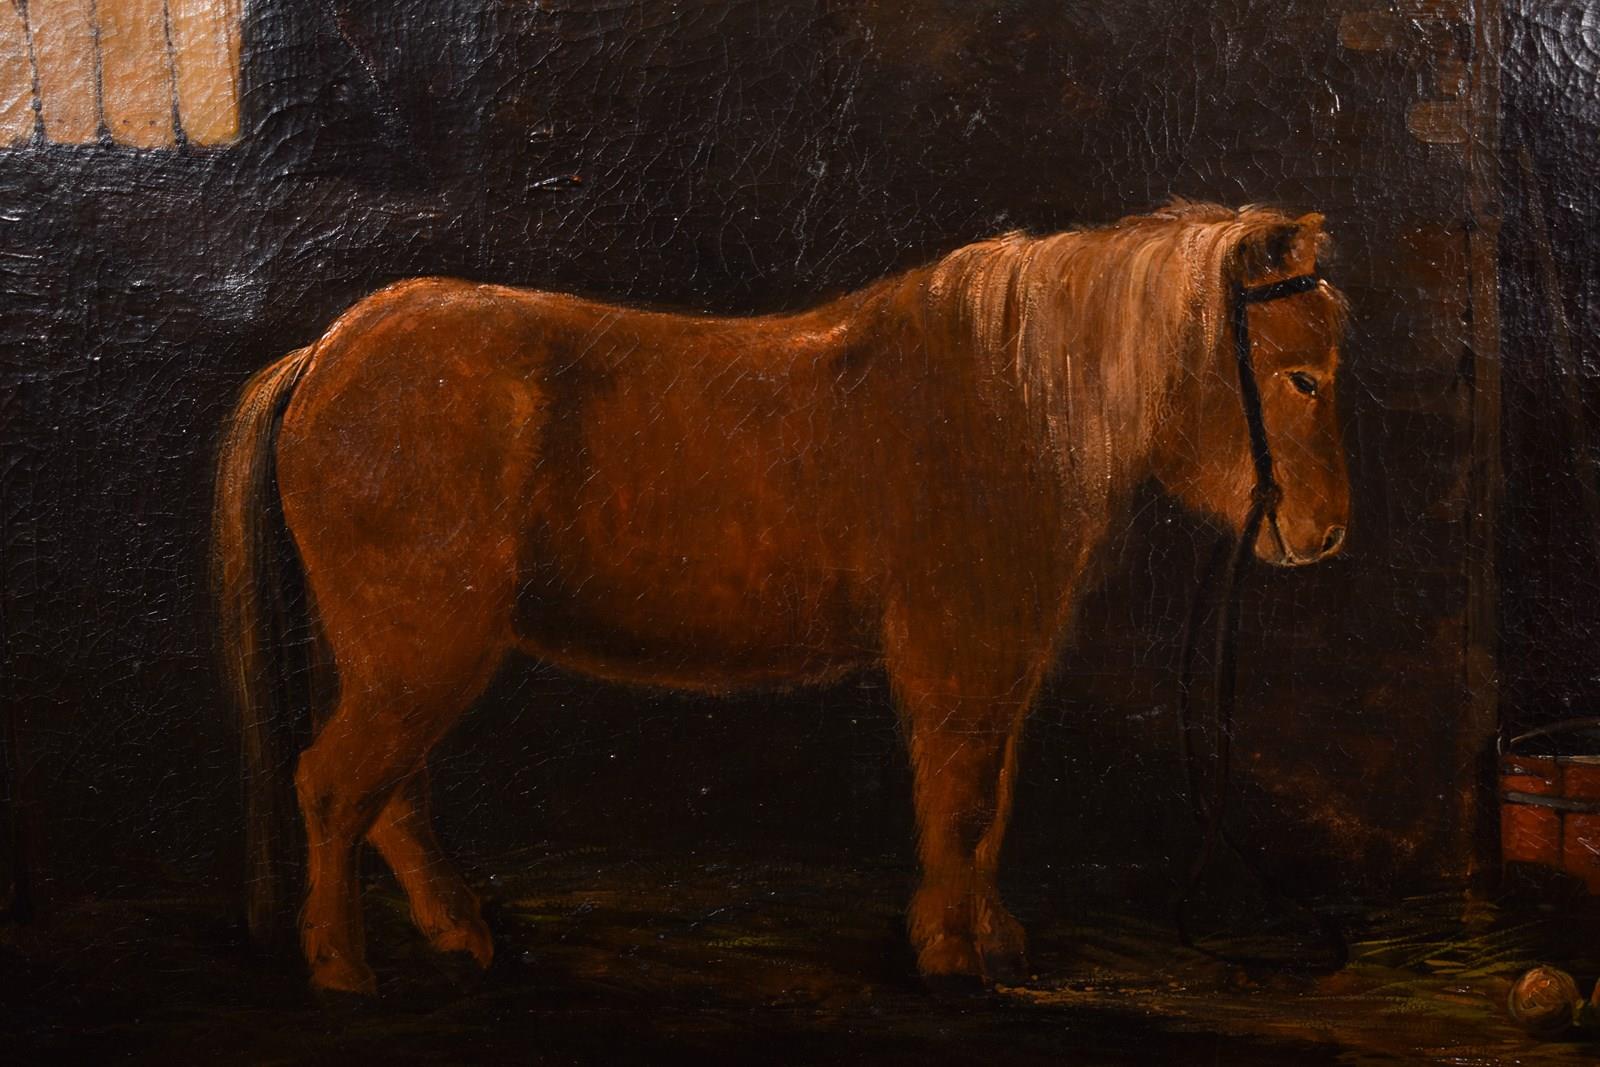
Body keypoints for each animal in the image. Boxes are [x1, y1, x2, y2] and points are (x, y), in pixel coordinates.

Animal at [214, 200, 1350, 995]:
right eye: (1300, 376)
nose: (1327, 531)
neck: (1007, 399)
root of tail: (326, 353)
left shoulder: (996, 665)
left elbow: (987, 803)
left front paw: (987, 938)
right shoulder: (957, 655)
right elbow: (960, 802)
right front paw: (951, 953)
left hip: (403, 657)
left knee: (390, 798)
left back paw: (459, 935)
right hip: (421, 649)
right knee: (337, 788)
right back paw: (343, 969)